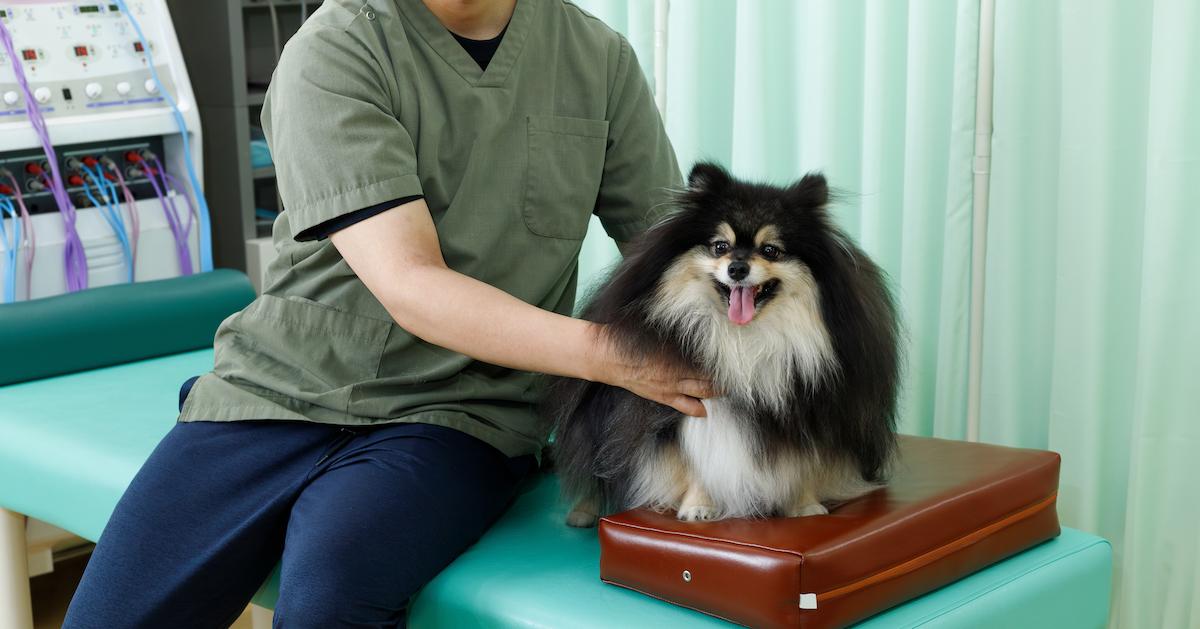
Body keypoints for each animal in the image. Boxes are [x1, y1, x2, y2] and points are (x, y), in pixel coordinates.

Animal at [549, 162, 897, 525]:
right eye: (720, 246)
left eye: (770, 250)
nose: (737, 267)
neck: (744, 339)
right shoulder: (685, 407)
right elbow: (696, 459)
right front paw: (699, 505)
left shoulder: (811, 407)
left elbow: (805, 460)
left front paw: (804, 506)